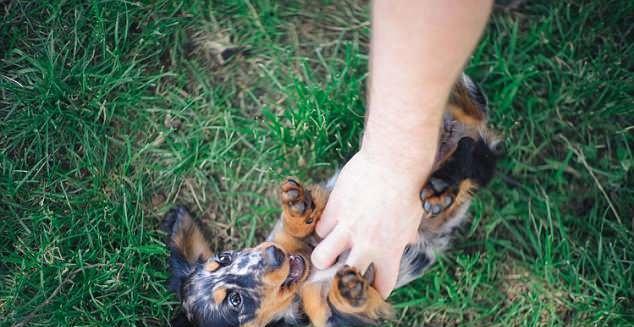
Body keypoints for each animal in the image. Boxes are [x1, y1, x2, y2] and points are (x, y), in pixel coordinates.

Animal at [162, 75, 498, 326]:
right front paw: (349, 291)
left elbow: (297, 226)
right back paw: (442, 186)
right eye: (235, 301)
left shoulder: (312, 233)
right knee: (471, 151)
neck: (306, 274)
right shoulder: (328, 314)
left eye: (225, 257)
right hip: (476, 161)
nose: (273, 255)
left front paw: (296, 207)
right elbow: (336, 306)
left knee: (467, 142)